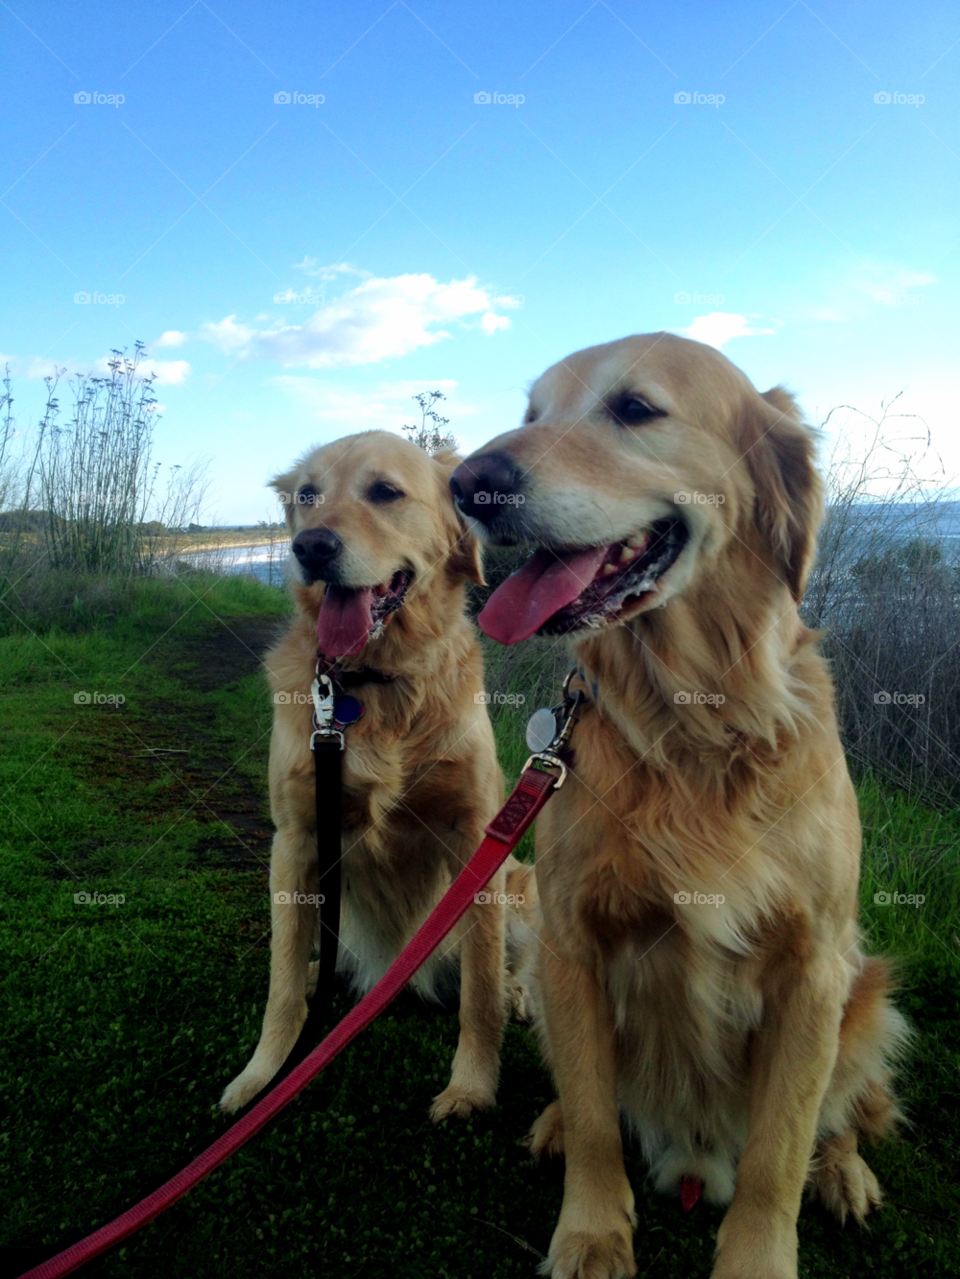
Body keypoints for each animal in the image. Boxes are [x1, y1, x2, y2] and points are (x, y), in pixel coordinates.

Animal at [219, 429, 534, 1120]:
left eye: (386, 492)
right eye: (308, 495)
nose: (311, 547)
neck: (376, 682)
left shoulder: (475, 837)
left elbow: (479, 989)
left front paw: (471, 1087)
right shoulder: (296, 838)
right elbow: (282, 985)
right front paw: (263, 1077)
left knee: (510, 966)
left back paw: (519, 993)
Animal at [449, 337, 910, 1279]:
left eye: (634, 409)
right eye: (532, 415)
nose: (468, 484)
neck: (690, 723)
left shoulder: (812, 966)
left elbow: (779, 1149)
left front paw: (759, 1258)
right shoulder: (572, 942)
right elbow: (598, 1116)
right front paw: (591, 1231)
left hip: (865, 992)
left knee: (841, 1111)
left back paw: (843, 1171)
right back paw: (553, 1123)